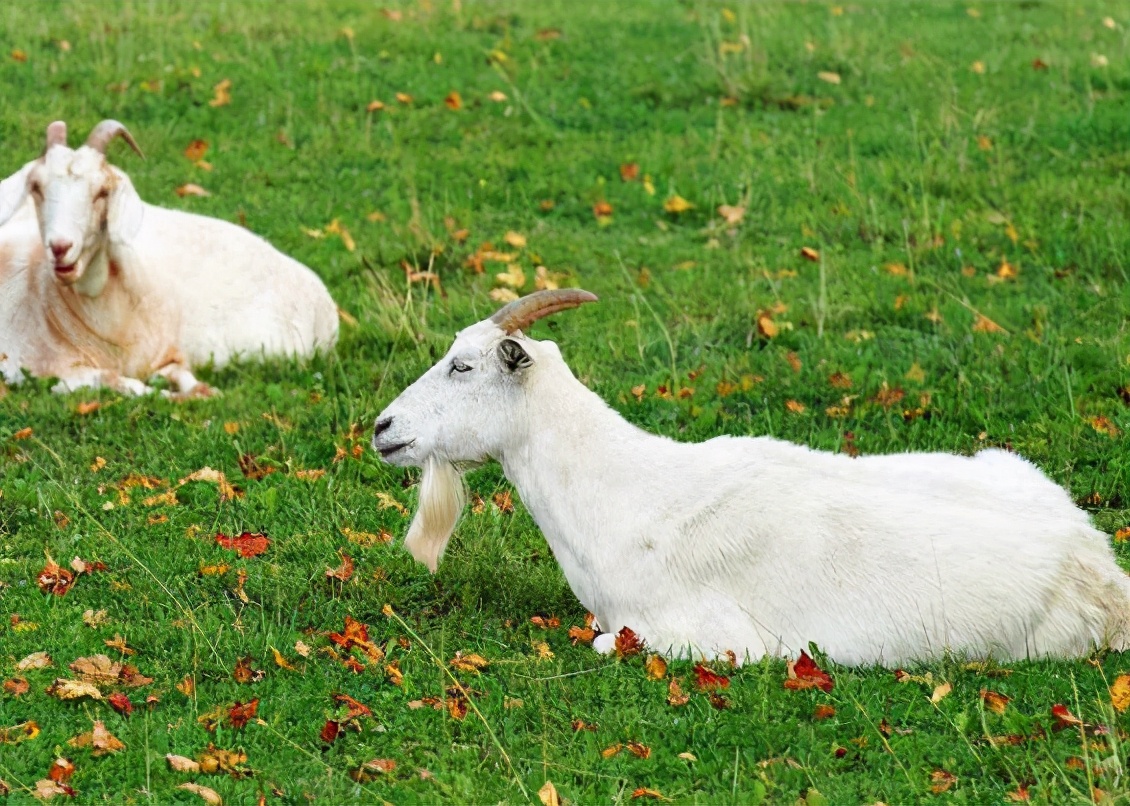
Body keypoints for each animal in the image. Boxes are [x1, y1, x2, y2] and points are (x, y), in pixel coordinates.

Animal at [0, 120, 336, 395]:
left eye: (103, 192)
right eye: (36, 187)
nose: (60, 247)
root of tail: (325, 312)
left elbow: (179, 374)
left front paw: (201, 391)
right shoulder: (45, 371)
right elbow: (125, 384)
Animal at [375, 286, 1130, 664]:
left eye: (463, 366)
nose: (382, 428)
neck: (628, 492)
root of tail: (1100, 570)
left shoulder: (715, 638)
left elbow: (603, 642)